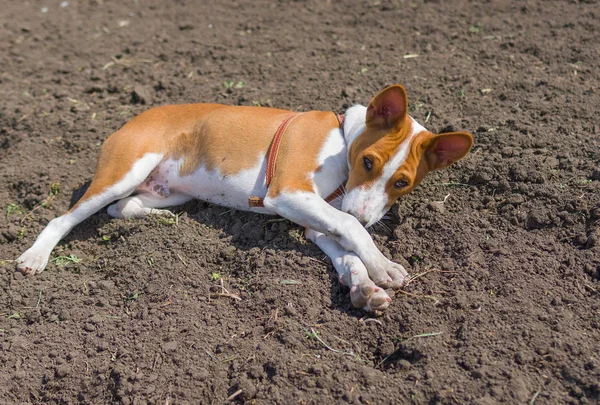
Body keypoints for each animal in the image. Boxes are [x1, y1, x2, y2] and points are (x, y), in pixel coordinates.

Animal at [15, 83, 474, 312]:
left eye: (402, 183)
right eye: (368, 161)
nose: (365, 215)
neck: (342, 140)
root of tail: (129, 121)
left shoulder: (314, 221)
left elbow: (346, 250)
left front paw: (362, 287)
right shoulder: (288, 194)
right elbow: (348, 227)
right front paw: (383, 266)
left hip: (168, 193)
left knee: (121, 207)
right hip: (123, 171)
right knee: (65, 218)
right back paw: (35, 257)